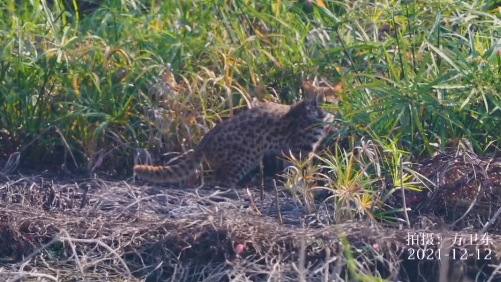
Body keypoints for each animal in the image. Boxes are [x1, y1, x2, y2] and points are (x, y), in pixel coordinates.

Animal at [134, 80, 340, 188]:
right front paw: (303, 183)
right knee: (221, 180)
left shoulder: (293, 151)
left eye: (328, 103)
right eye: (313, 103)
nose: (320, 113)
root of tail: (206, 138)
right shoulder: (300, 150)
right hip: (242, 160)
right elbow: (298, 170)